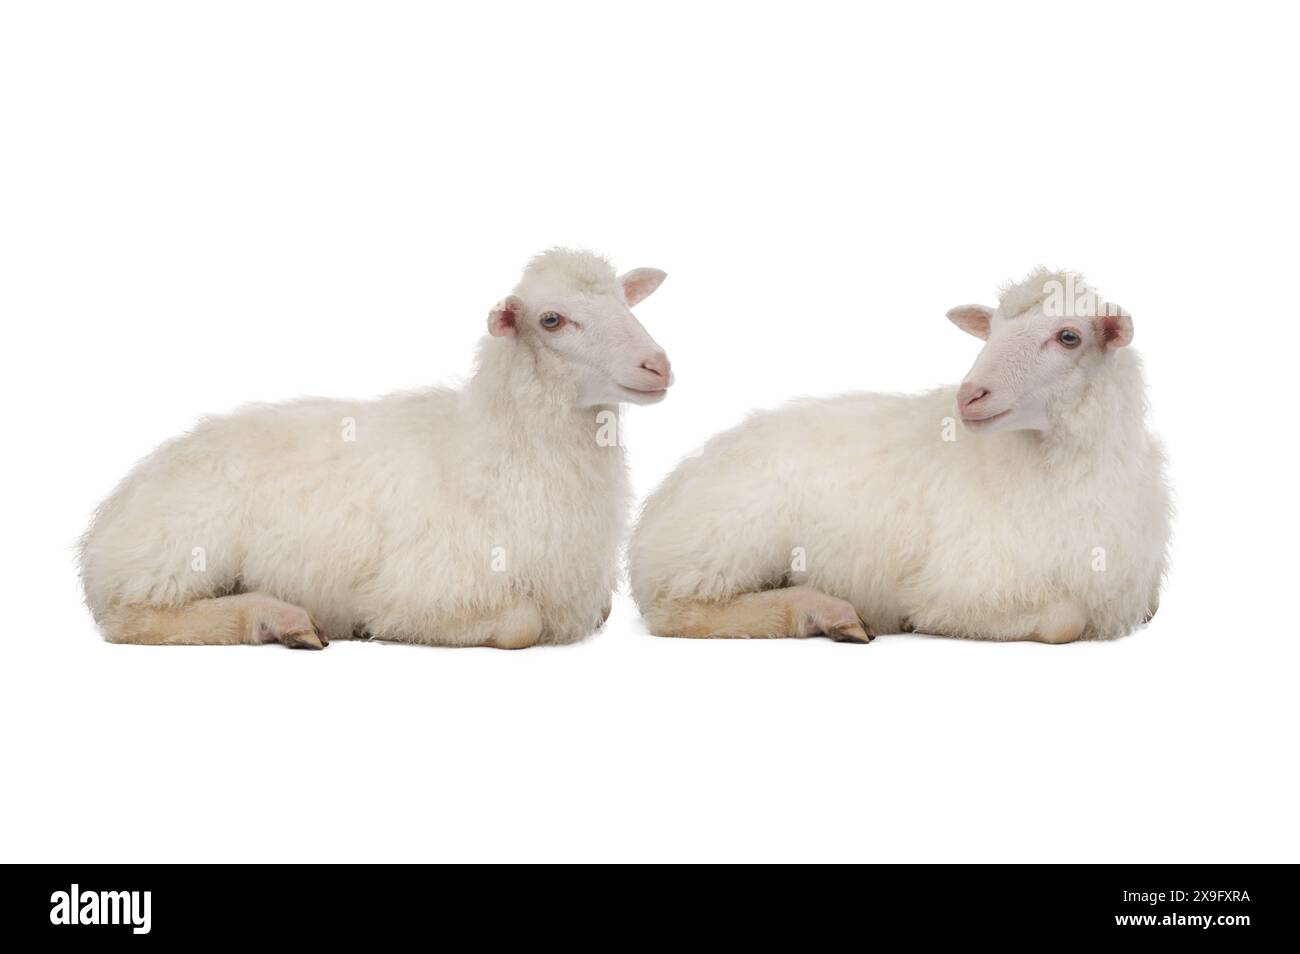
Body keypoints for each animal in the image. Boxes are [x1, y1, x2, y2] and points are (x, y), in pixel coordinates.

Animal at [80, 248, 674, 649]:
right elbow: (519, 624)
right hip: (180, 547)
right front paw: (369, 630)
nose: (658, 366)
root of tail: (110, 514)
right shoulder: (420, 588)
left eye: (625, 301)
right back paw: (281, 620)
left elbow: (598, 612)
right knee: (134, 618)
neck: (491, 449)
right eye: (552, 319)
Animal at [629, 268, 1170, 644]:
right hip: (730, 536)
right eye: (991, 331)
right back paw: (827, 613)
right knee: (679, 610)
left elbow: (1149, 608)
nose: (970, 395)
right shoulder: (957, 585)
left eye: (1069, 336)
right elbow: (1064, 618)